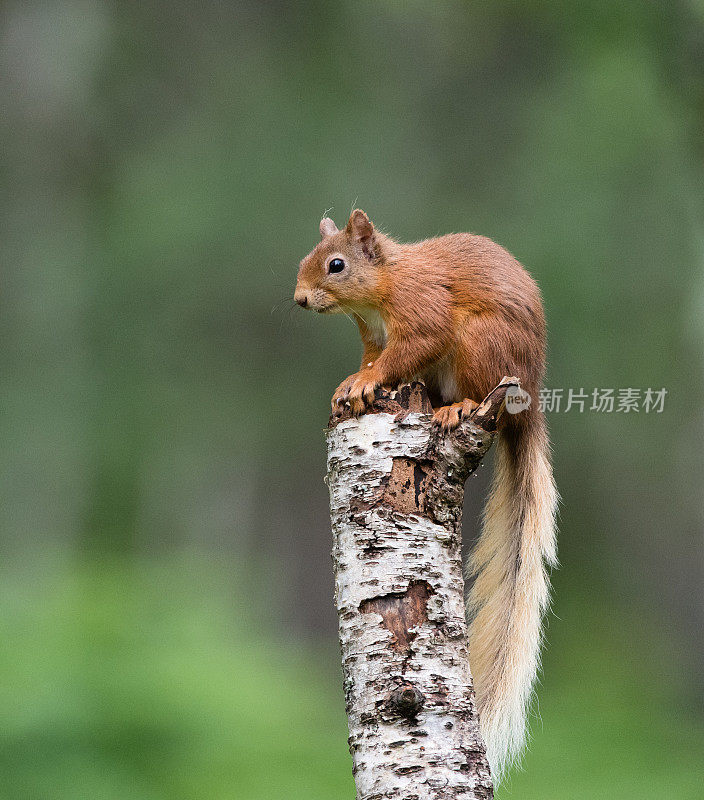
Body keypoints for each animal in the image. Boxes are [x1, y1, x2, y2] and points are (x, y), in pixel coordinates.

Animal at [294, 209, 560, 780]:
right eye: (307, 259)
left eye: (335, 264)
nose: (300, 299)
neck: (383, 288)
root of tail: (528, 395)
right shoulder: (372, 335)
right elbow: (375, 360)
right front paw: (353, 381)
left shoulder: (423, 312)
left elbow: (407, 351)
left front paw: (363, 382)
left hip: (480, 345)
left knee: (470, 389)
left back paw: (456, 408)